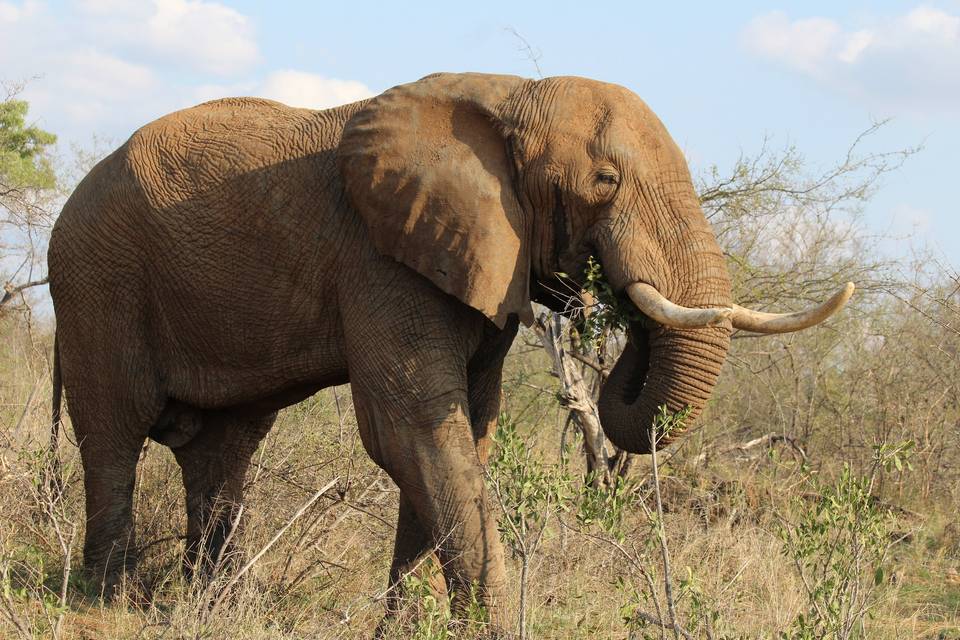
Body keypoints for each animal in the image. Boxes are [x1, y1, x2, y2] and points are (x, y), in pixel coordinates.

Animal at [47, 72, 852, 631]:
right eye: (604, 181)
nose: (605, 298)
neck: (509, 97)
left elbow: (466, 430)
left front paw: (406, 628)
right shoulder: (381, 259)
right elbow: (411, 428)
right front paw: (487, 628)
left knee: (224, 449)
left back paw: (212, 604)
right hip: (97, 277)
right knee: (115, 431)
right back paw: (107, 600)